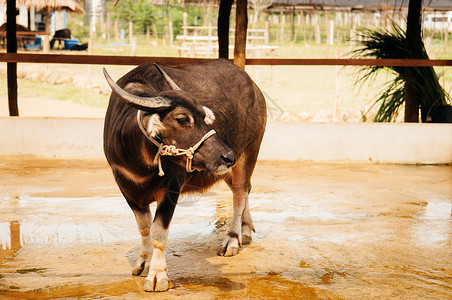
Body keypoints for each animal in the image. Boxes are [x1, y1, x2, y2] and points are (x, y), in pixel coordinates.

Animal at [103, 58, 264, 290]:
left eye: (204, 117)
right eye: (182, 119)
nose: (228, 156)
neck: (139, 161)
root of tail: (255, 89)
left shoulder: (171, 188)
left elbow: (158, 232)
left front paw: (157, 276)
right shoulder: (126, 189)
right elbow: (144, 229)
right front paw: (144, 262)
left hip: (249, 152)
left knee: (240, 194)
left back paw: (233, 239)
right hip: (225, 169)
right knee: (244, 190)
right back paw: (245, 229)